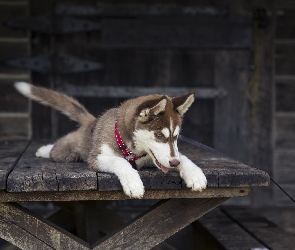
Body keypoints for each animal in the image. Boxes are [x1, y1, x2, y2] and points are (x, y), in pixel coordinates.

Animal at [14, 83, 208, 198]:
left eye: (176, 136)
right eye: (159, 135)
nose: (174, 163)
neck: (130, 147)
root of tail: (92, 121)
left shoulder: (155, 158)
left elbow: (184, 158)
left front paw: (195, 174)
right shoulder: (97, 157)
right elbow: (120, 162)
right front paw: (133, 183)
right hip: (66, 152)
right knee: (58, 149)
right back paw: (45, 149)